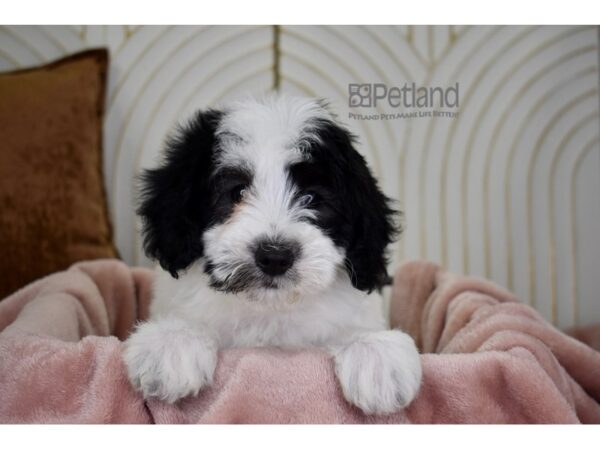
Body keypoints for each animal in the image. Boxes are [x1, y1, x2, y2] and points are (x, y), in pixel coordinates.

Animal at [123, 94, 422, 414]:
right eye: (237, 192)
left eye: (311, 198)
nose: (275, 256)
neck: (270, 310)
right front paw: (172, 343)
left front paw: (375, 354)